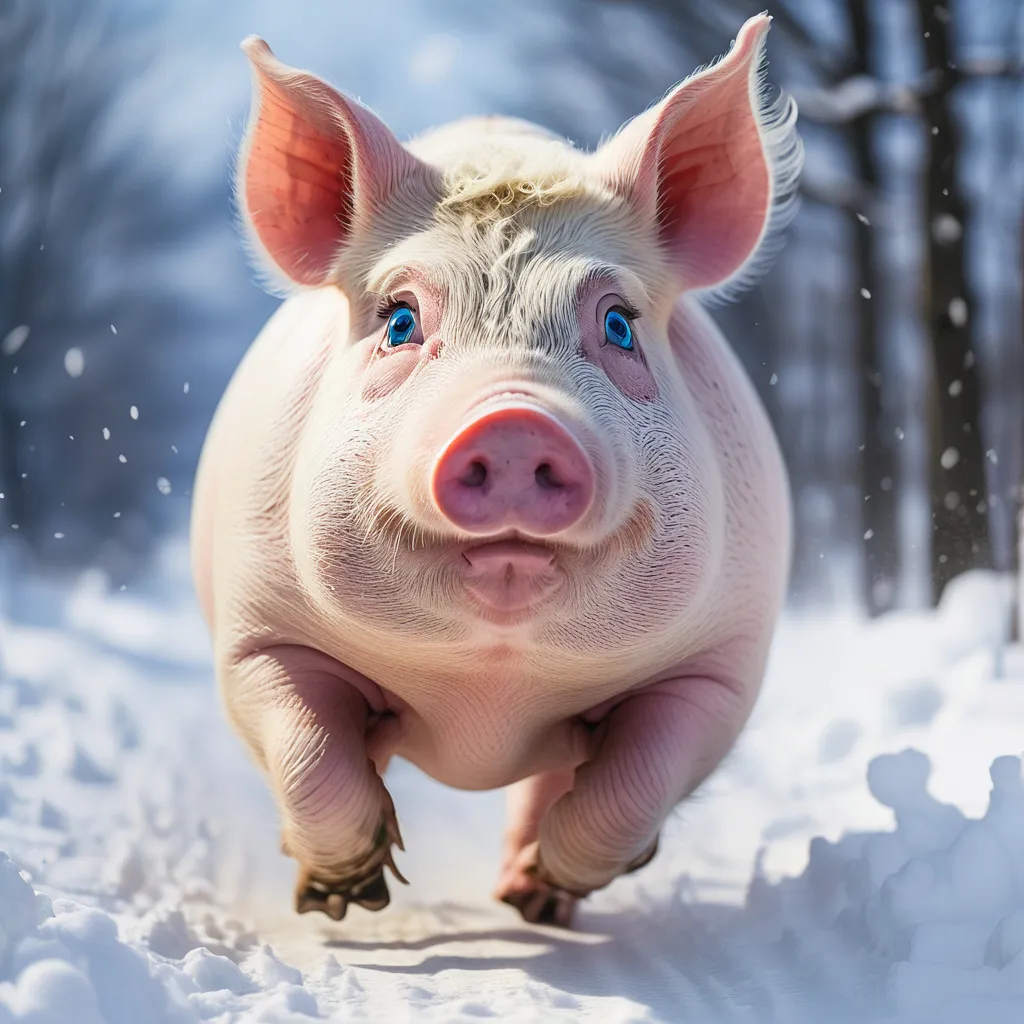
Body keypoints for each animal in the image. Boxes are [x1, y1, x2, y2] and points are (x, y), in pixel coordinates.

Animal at [190, 16, 798, 929]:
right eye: (400, 320)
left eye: (619, 325)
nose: (513, 421)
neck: (490, 694)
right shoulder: (256, 629)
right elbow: (307, 756)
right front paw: (351, 896)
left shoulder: (722, 662)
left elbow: (632, 786)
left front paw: (545, 889)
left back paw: (528, 899)